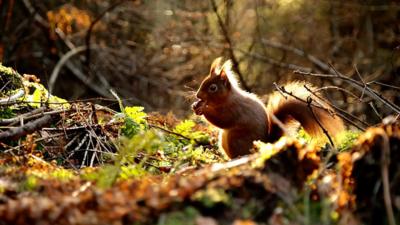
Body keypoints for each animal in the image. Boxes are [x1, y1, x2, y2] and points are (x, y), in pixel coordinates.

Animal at [191, 56, 344, 158]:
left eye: (213, 88)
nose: (198, 95)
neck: (228, 98)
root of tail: (266, 143)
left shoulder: (234, 109)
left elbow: (222, 121)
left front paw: (203, 109)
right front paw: (195, 105)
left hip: (235, 140)